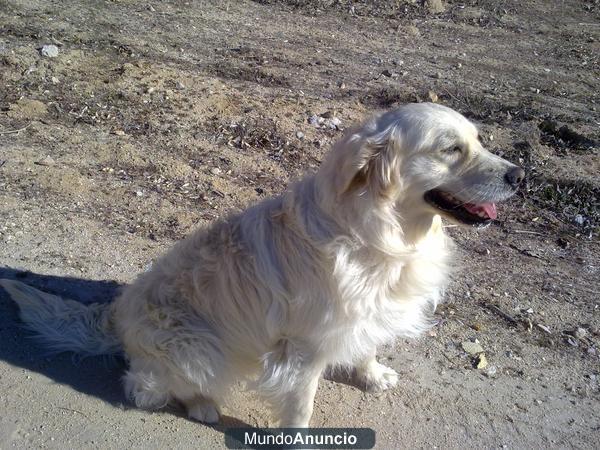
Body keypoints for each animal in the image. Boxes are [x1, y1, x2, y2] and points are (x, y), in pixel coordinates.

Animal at [0, 103, 524, 428]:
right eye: (451, 149)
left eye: (479, 141)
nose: (520, 175)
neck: (382, 233)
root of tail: (116, 315)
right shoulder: (303, 348)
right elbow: (300, 404)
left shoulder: (365, 314)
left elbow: (367, 345)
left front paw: (372, 373)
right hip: (196, 346)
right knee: (143, 386)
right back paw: (202, 405)